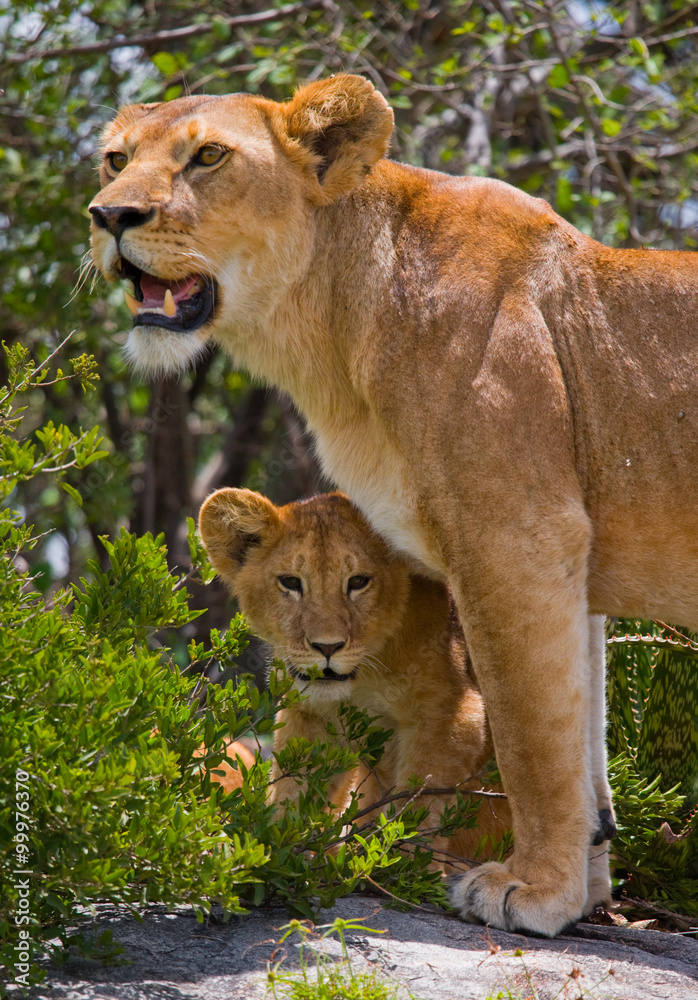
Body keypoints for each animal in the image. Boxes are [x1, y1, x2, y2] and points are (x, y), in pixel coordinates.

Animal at [198, 487, 511, 867]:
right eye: (291, 582)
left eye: (358, 582)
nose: (327, 647)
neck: (365, 678)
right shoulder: (310, 714)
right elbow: (294, 789)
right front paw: (277, 853)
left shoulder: (452, 713)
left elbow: (420, 806)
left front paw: (402, 868)